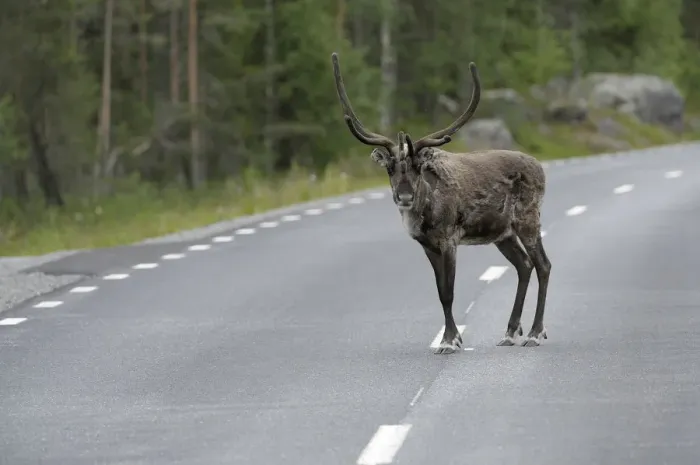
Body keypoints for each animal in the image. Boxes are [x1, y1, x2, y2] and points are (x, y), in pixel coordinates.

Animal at [330, 52, 551, 354]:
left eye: (418, 166)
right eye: (389, 167)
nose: (404, 196)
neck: (424, 212)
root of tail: (540, 167)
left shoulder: (449, 240)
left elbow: (449, 292)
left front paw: (449, 340)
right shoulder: (427, 246)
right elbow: (439, 293)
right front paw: (452, 337)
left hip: (528, 220)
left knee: (543, 265)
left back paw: (534, 332)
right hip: (502, 234)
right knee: (524, 265)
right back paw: (509, 332)